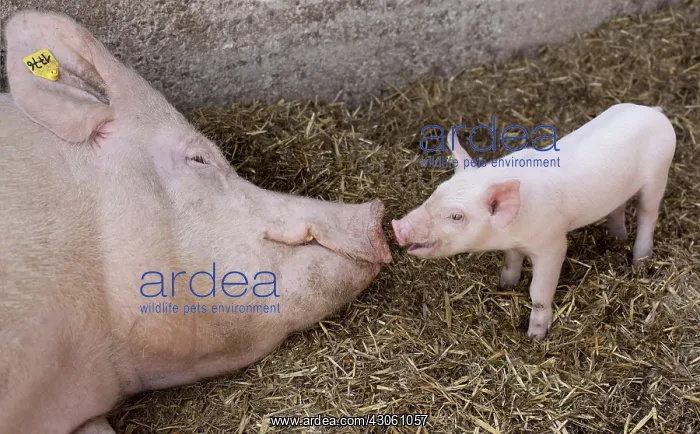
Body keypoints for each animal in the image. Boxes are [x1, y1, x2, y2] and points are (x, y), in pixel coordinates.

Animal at [392, 103, 676, 341]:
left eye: (456, 216)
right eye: (435, 191)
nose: (397, 226)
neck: (515, 229)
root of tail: (655, 112)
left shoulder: (553, 245)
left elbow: (538, 291)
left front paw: (535, 336)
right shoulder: (513, 243)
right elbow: (511, 260)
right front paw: (505, 284)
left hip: (658, 175)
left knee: (648, 214)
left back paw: (640, 261)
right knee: (618, 206)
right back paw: (617, 237)